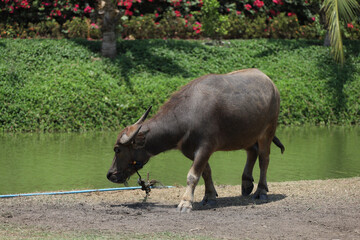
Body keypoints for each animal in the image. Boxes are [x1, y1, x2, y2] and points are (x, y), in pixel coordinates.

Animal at [107, 68, 284, 212]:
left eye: (117, 149)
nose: (110, 175)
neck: (187, 116)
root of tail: (271, 84)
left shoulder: (206, 147)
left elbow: (192, 175)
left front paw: (186, 202)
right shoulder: (191, 151)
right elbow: (206, 172)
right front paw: (209, 196)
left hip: (268, 131)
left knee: (264, 159)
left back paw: (261, 191)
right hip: (246, 134)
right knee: (252, 151)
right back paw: (246, 183)